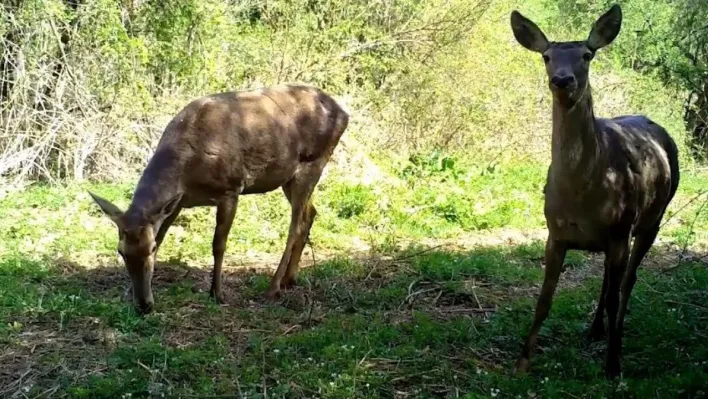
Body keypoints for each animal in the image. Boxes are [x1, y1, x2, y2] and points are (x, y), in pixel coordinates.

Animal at [88, 83, 348, 316]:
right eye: (120, 251)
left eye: (149, 249)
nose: (143, 305)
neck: (187, 171)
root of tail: (344, 112)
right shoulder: (177, 203)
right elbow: (162, 235)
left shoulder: (230, 189)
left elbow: (218, 244)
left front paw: (217, 292)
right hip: (289, 178)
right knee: (310, 213)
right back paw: (289, 279)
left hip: (313, 162)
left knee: (295, 225)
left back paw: (273, 287)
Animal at [512, 3, 676, 378]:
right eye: (546, 56)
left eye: (587, 55)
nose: (562, 80)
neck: (581, 195)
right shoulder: (555, 233)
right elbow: (544, 298)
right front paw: (523, 361)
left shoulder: (620, 228)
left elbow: (617, 294)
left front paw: (613, 366)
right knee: (608, 279)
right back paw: (595, 330)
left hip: (652, 219)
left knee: (627, 282)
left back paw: (615, 336)